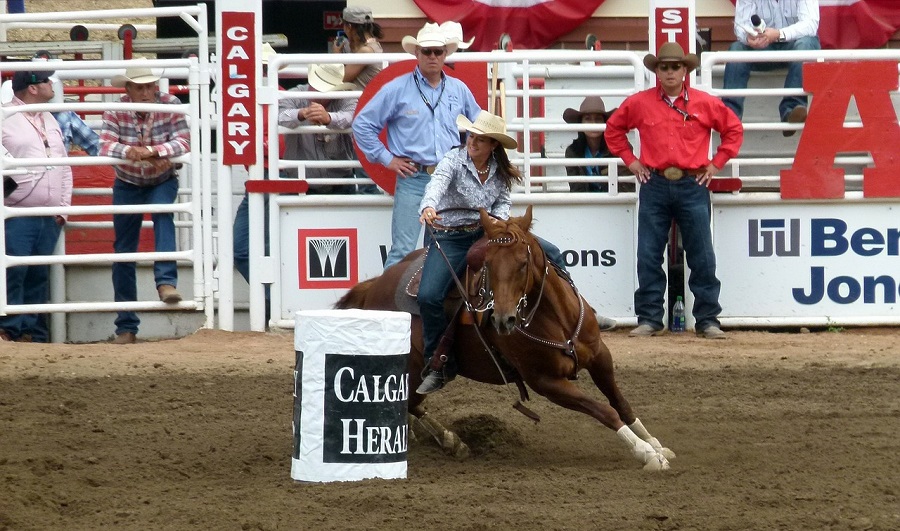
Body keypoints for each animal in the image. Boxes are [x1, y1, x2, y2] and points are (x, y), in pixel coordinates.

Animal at [334, 206, 672, 472]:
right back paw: (444, 439)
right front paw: (645, 453)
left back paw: (448, 440)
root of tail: (374, 286)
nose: (502, 320)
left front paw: (655, 443)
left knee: (412, 405)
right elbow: (604, 409)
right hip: (409, 368)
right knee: (407, 402)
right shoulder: (546, 381)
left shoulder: (600, 356)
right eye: (489, 266)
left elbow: (620, 403)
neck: (557, 318)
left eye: (523, 263)